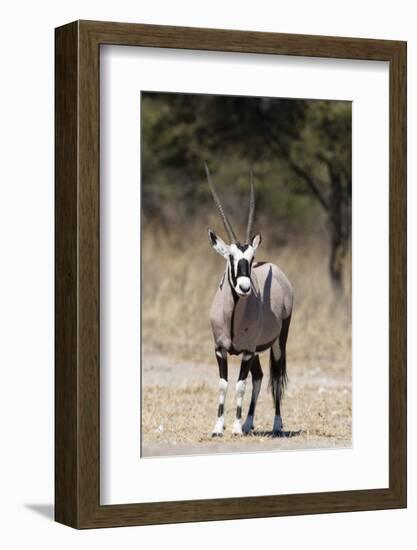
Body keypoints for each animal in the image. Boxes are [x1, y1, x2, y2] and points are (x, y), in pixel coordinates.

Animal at [206, 162, 292, 438]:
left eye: (251, 259)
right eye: (231, 257)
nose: (244, 287)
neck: (232, 315)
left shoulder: (245, 352)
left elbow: (240, 385)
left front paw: (234, 428)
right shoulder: (221, 349)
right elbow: (224, 384)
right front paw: (218, 427)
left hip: (278, 342)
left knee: (275, 377)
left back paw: (276, 425)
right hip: (256, 351)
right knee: (260, 376)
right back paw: (249, 422)